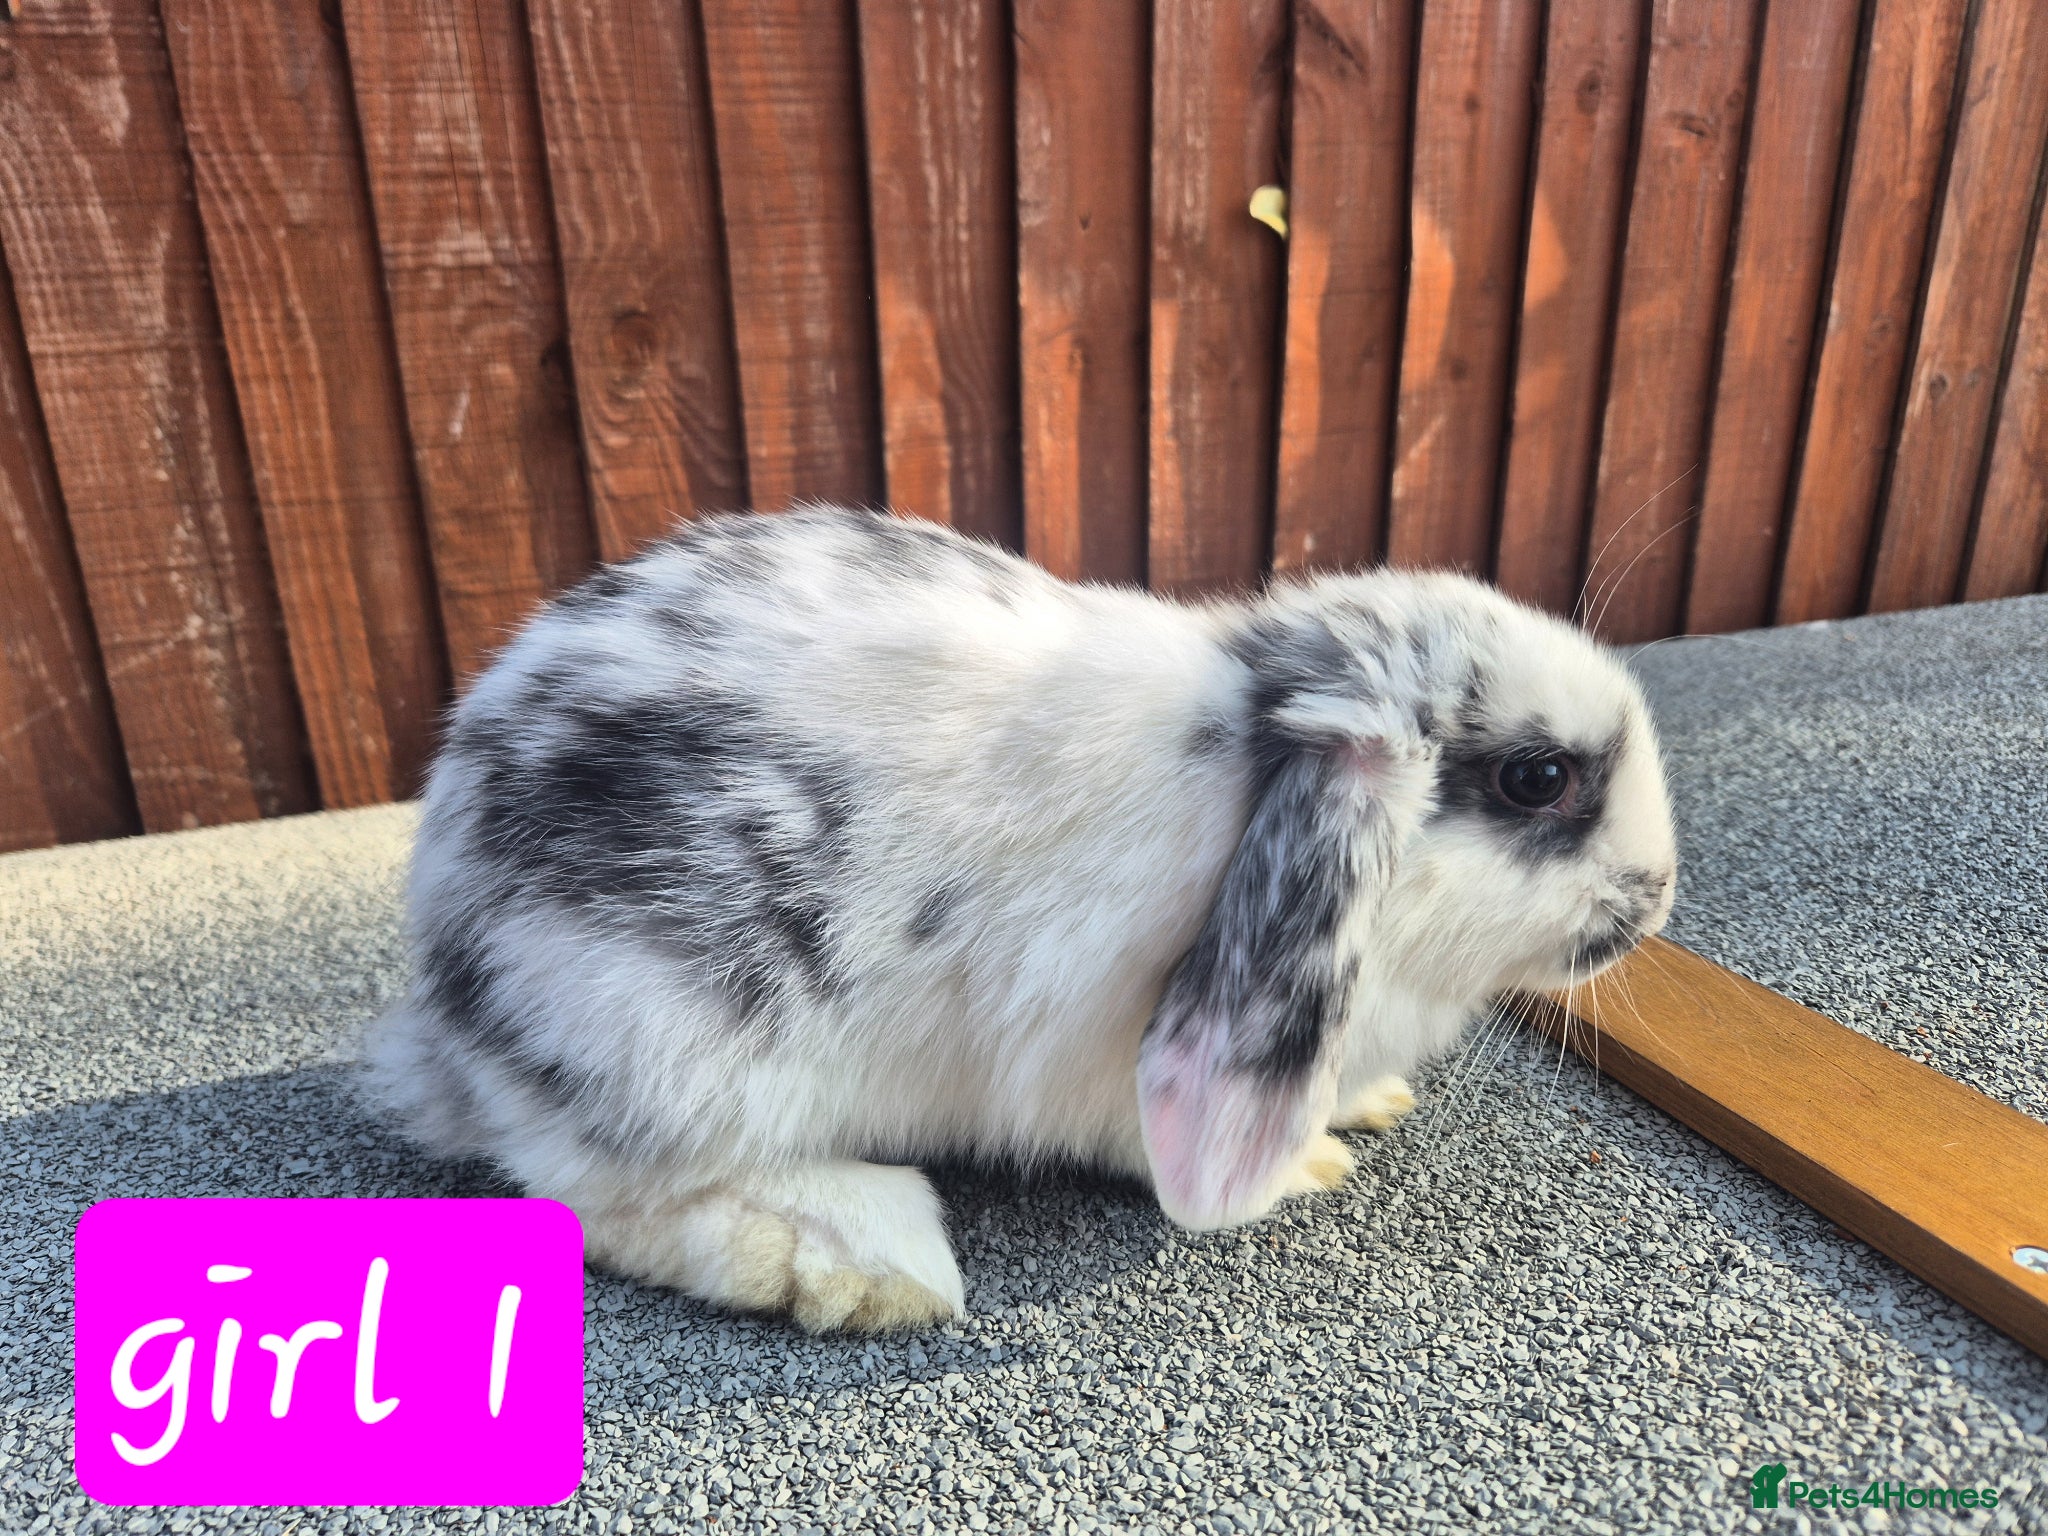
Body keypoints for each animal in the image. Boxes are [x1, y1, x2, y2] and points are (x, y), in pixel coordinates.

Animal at [364, 506, 1677, 1331]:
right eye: (1536, 780)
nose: (1657, 892)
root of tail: (447, 1022)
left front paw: (1366, 1104)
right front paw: (1309, 1161)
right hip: (673, 1046)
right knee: (600, 1191)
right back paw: (871, 1268)